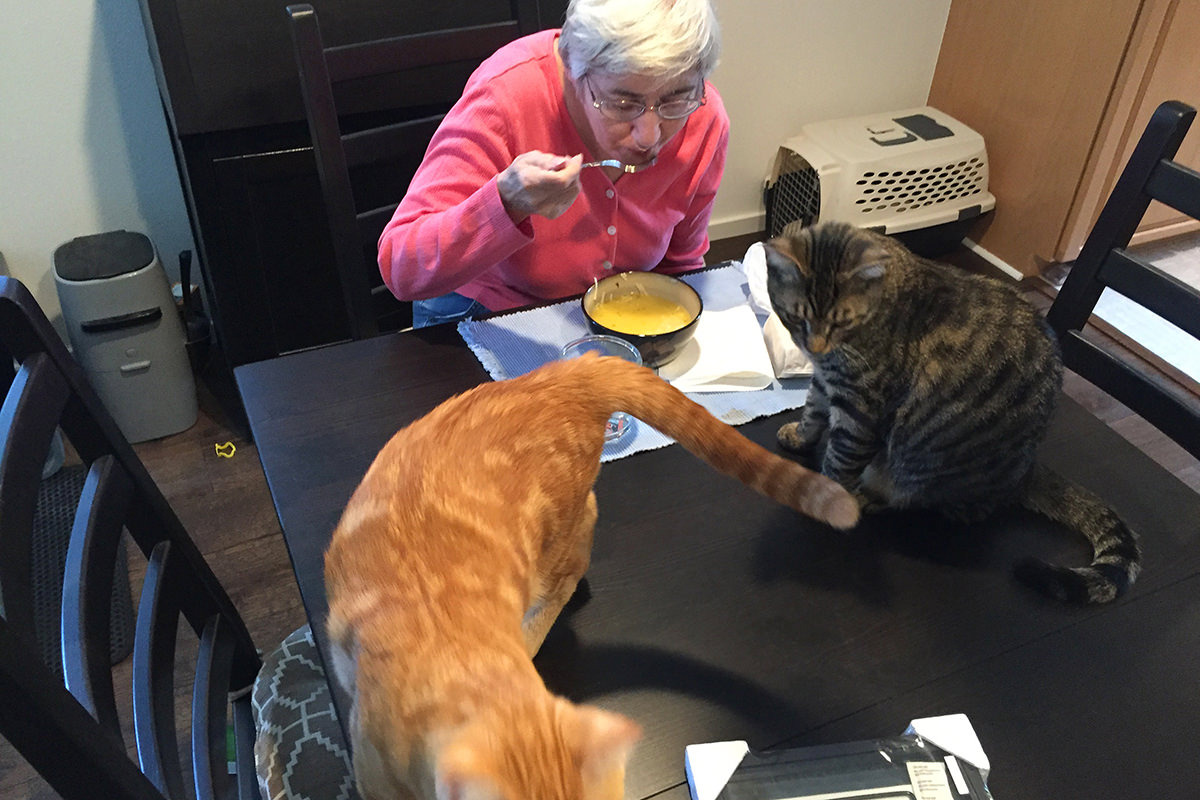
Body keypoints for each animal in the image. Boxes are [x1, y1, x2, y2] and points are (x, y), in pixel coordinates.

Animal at [763, 221, 1137, 604]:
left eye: (841, 322)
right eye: (796, 318)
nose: (815, 347)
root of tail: (1025, 471)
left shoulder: (860, 411)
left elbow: (838, 462)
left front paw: (824, 500)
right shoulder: (827, 384)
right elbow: (812, 413)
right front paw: (799, 436)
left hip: (924, 467)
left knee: (932, 503)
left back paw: (870, 498)